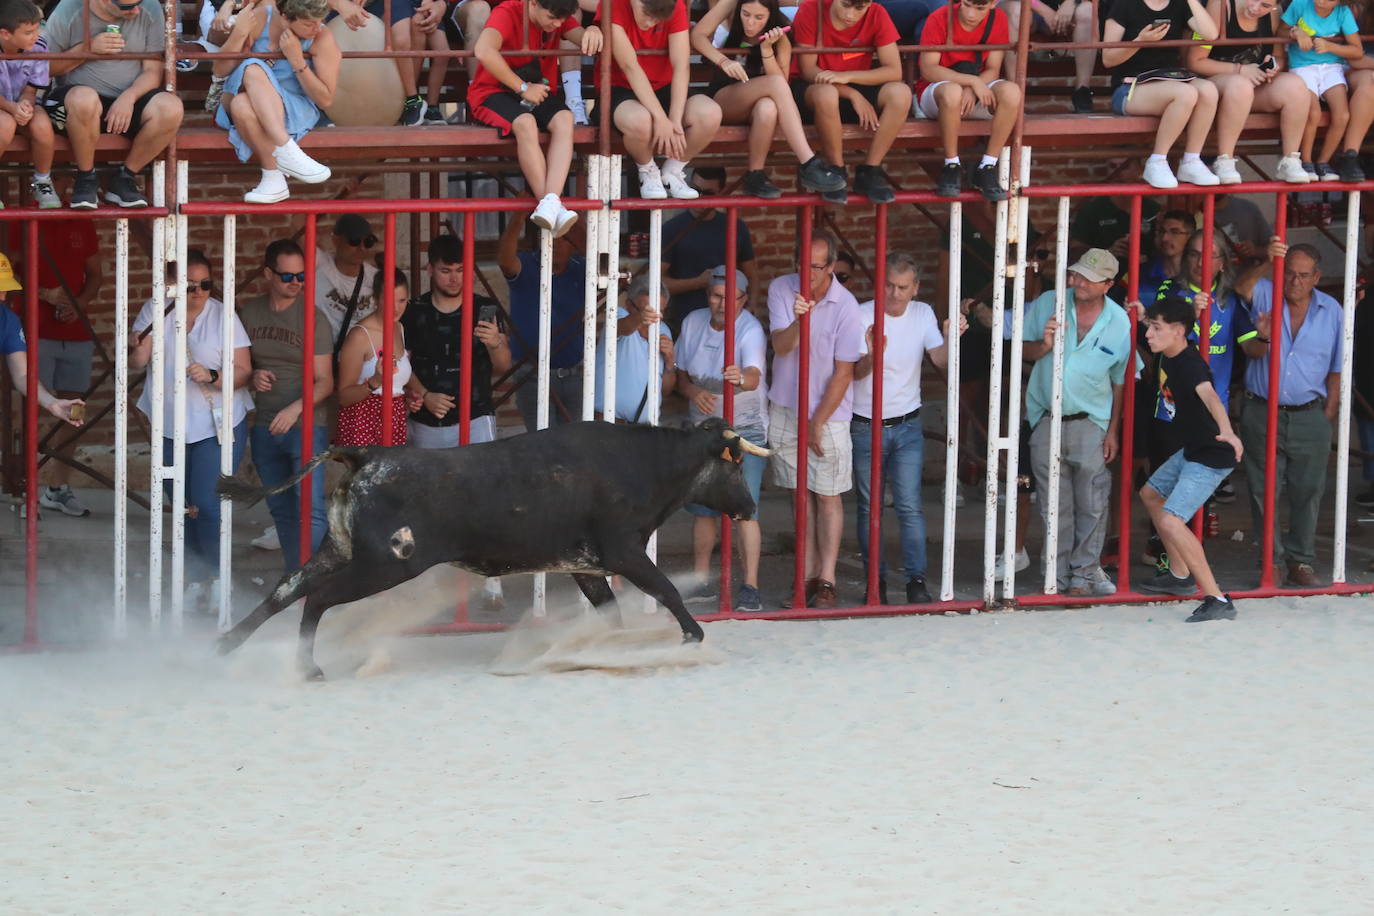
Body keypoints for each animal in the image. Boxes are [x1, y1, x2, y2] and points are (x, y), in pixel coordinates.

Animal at [219, 420, 769, 678]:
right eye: (736, 465)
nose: (749, 507)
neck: (641, 463)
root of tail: (366, 455)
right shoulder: (623, 553)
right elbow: (667, 591)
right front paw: (693, 637)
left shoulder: (586, 567)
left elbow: (610, 615)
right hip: (385, 565)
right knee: (316, 598)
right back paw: (306, 667)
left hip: (340, 549)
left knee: (286, 589)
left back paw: (226, 645)